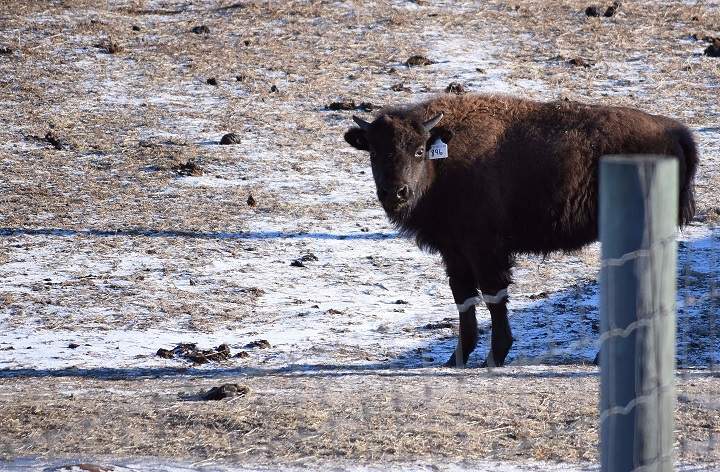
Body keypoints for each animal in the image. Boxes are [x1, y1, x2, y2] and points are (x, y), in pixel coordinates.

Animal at [344, 93, 698, 367]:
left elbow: (493, 296)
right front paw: (455, 359)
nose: (395, 193)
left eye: (418, 151)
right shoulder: (455, 253)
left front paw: (493, 357)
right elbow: (464, 299)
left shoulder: (485, 251)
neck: (443, 161)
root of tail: (676, 132)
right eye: (374, 153)